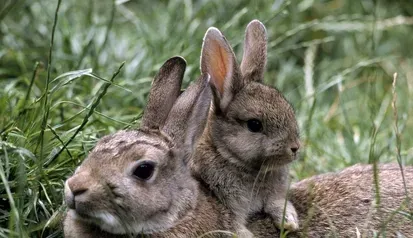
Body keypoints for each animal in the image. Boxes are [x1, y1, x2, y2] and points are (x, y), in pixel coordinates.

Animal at [188, 19, 298, 237]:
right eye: (254, 124)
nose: (295, 147)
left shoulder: (274, 195)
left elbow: (278, 204)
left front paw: (290, 221)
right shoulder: (228, 205)